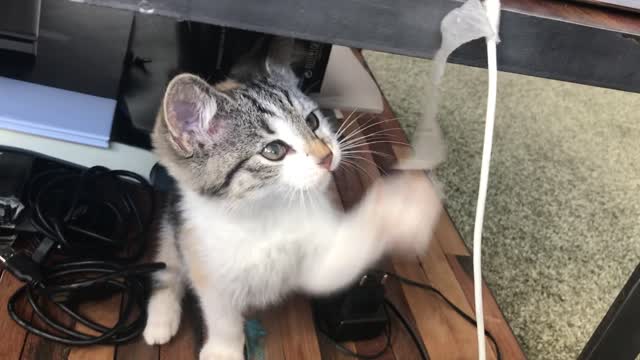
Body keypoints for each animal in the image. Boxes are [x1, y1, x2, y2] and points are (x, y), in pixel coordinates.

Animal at [144, 48, 440, 360]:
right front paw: (223, 351)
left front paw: (406, 204)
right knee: (167, 268)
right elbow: (222, 317)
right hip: (172, 227)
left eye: (312, 121)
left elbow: (335, 265)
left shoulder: (316, 257)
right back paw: (161, 320)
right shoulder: (207, 264)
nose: (326, 156)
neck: (265, 212)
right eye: (273, 150)